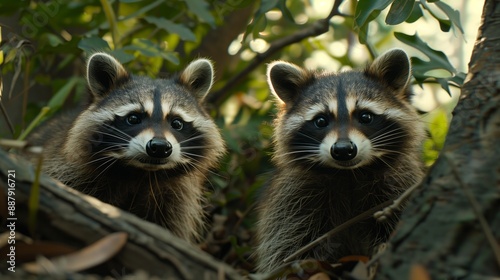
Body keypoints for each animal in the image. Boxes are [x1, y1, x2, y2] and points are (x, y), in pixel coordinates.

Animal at [30, 53, 226, 242]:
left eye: (176, 123)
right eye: (133, 118)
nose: (159, 147)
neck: (141, 174)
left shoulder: (177, 199)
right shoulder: (68, 172)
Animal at [258, 49, 426, 272]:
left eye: (365, 117)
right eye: (321, 121)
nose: (343, 150)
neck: (349, 174)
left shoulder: (399, 184)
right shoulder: (293, 196)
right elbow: (287, 243)